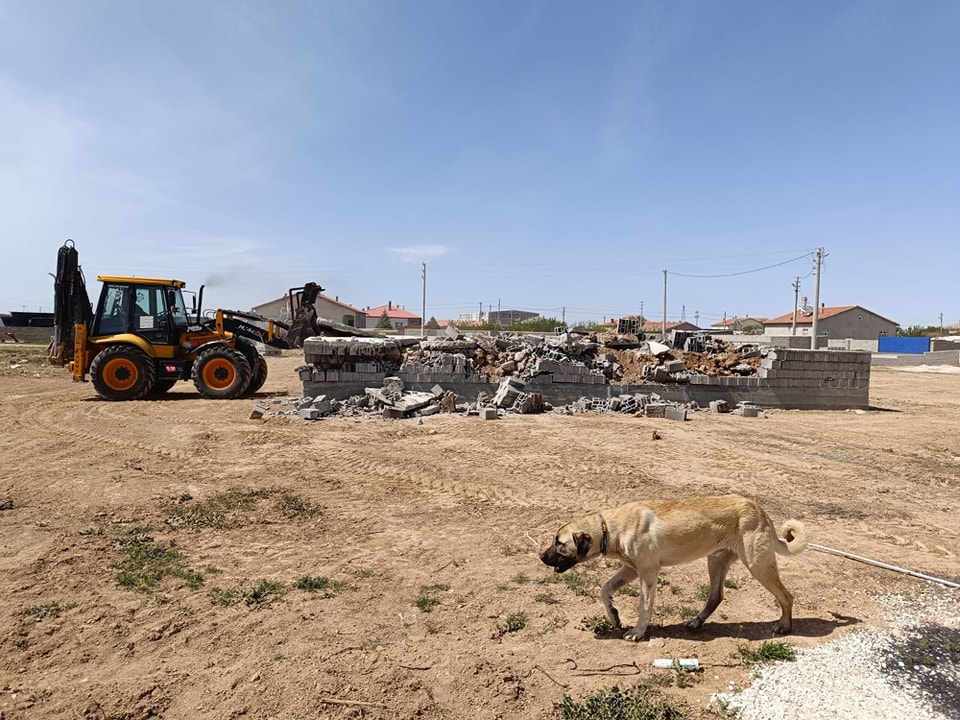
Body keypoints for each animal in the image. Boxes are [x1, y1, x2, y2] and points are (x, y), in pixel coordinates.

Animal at [544, 496, 808, 640]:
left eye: (559, 543)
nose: (541, 557)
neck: (609, 527)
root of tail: (759, 509)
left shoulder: (647, 573)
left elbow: (644, 607)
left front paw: (638, 632)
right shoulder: (631, 570)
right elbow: (604, 589)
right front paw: (614, 615)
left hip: (757, 565)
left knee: (787, 596)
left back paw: (785, 626)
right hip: (716, 562)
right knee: (716, 596)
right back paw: (696, 622)